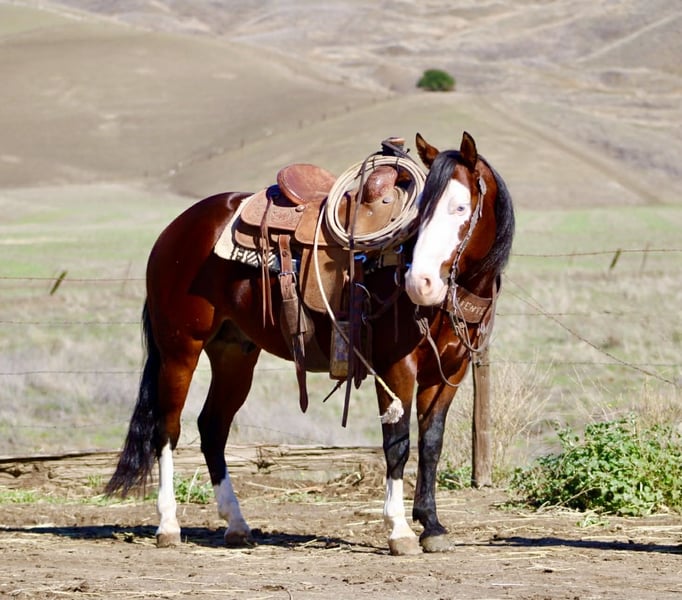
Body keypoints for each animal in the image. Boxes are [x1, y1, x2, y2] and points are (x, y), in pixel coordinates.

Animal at [106, 130, 515, 555]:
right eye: (423, 211)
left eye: (460, 207)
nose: (421, 283)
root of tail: (176, 230)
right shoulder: (395, 366)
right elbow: (398, 443)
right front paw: (399, 530)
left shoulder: (450, 369)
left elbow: (431, 442)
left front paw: (432, 526)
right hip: (180, 349)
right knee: (166, 429)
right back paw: (169, 525)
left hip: (233, 354)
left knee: (212, 426)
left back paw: (236, 524)